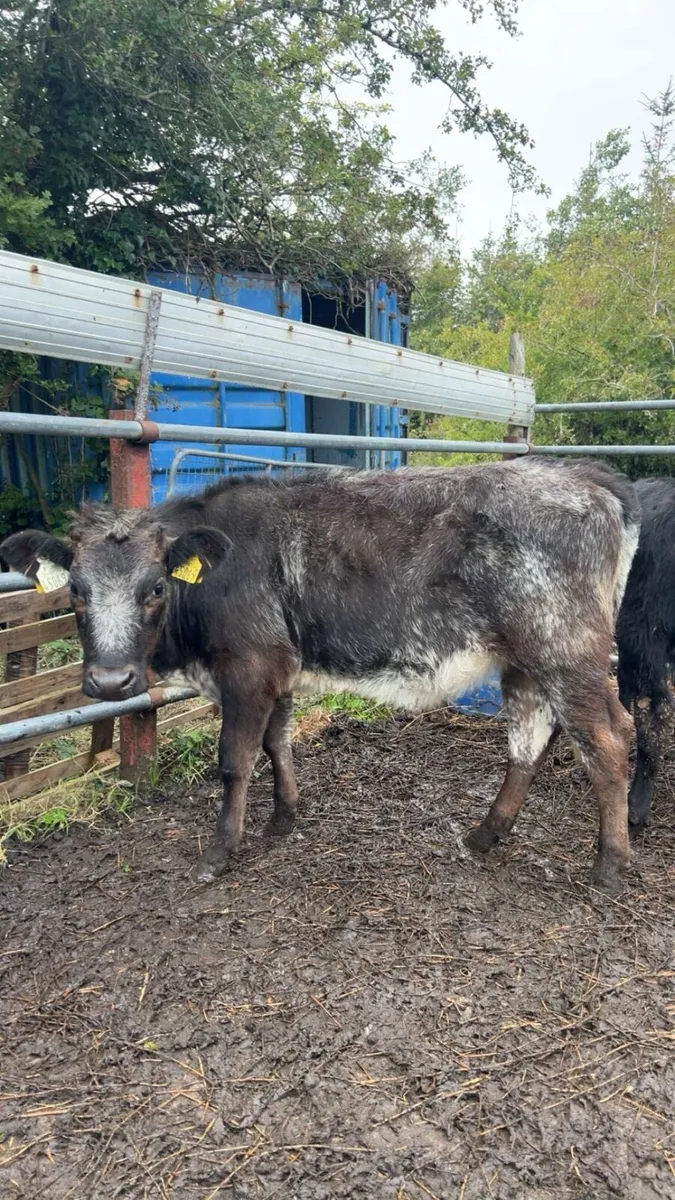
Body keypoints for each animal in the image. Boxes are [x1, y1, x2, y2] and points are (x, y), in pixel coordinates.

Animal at [0, 460, 639, 892]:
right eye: (75, 592)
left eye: (156, 587)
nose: (110, 683)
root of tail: (584, 476)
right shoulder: (277, 671)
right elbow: (277, 743)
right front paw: (283, 818)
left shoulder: (249, 667)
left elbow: (235, 760)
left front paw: (219, 852)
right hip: (525, 663)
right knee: (529, 742)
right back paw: (486, 834)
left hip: (566, 650)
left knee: (609, 740)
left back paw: (609, 864)